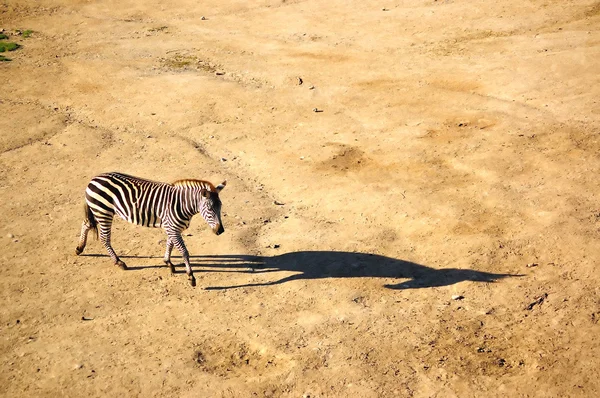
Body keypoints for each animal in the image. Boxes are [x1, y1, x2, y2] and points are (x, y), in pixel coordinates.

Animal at [75, 171, 225, 286]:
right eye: (210, 209)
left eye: (221, 207)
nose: (221, 231)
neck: (182, 204)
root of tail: (94, 178)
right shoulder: (172, 228)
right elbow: (184, 252)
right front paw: (191, 276)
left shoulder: (172, 228)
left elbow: (170, 244)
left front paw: (168, 263)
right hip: (103, 212)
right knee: (104, 238)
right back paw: (119, 262)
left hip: (98, 211)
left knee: (86, 223)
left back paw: (79, 248)